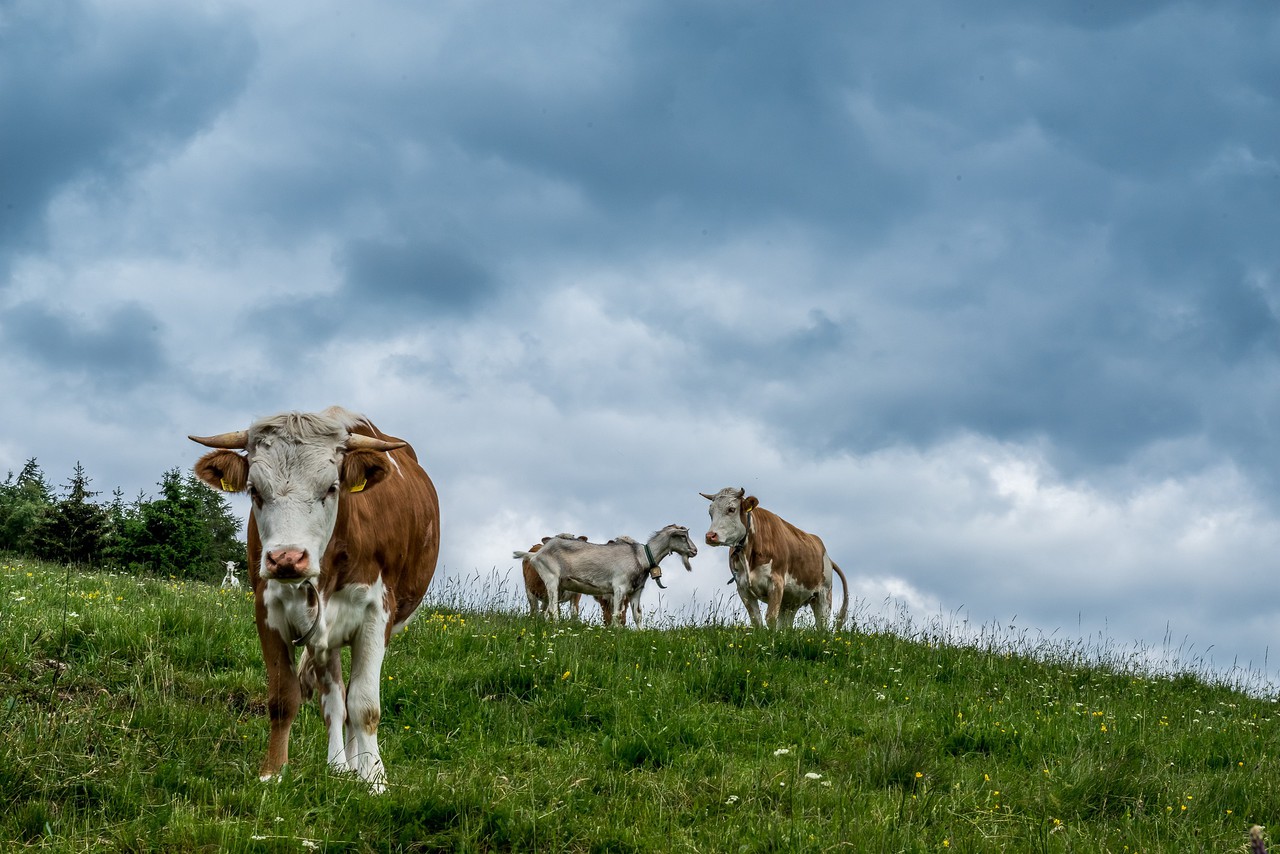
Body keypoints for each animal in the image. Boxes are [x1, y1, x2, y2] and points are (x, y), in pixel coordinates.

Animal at [190, 406, 440, 792]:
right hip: (326, 640)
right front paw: (273, 772)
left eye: (331, 487)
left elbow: (365, 704)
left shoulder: (376, 613)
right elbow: (284, 697)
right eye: (254, 490)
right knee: (336, 701)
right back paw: (339, 765)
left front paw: (374, 779)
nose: (286, 558)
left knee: (351, 700)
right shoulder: (269, 610)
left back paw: (356, 767)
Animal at [513, 525, 697, 627]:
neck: (640, 557)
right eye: (682, 536)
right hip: (551, 579)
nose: (694, 551)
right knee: (551, 609)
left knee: (547, 610)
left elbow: (637, 616)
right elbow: (616, 615)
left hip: (558, 586)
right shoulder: (619, 588)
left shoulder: (636, 591)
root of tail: (536, 554)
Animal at [701, 487, 848, 631]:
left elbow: (770, 618)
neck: (748, 555)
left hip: (824, 595)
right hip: (790, 602)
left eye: (731, 509)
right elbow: (756, 620)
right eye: (710, 512)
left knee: (822, 625)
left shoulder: (776, 583)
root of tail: (826, 555)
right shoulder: (742, 587)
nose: (710, 536)